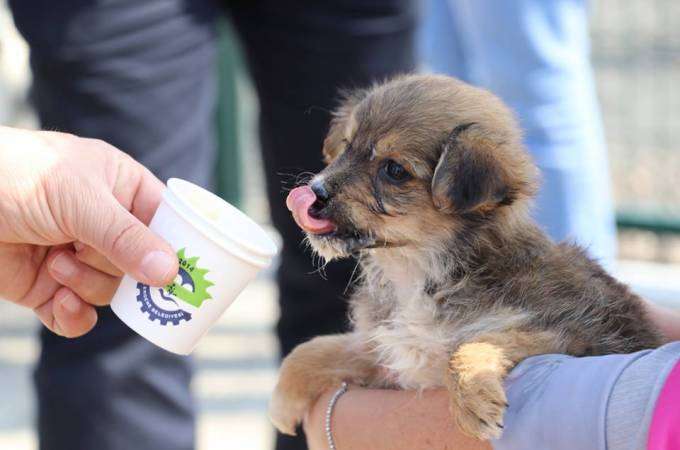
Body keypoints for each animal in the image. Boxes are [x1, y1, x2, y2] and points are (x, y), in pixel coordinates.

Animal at [268, 75, 660, 442]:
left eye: (394, 170)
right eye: (347, 147)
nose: (313, 193)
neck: (417, 272)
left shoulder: (568, 336)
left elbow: (469, 344)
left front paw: (472, 400)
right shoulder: (389, 351)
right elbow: (317, 348)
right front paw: (282, 401)